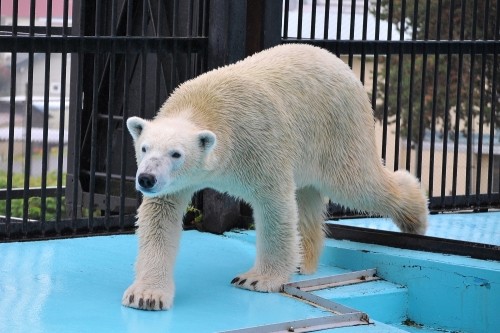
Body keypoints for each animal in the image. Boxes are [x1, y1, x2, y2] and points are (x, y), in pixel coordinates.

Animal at [120, 42, 426, 310]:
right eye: (145, 147)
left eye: (176, 154)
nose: (146, 179)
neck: (207, 106)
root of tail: (344, 66)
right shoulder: (172, 184)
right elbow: (160, 216)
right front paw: (147, 296)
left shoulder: (258, 142)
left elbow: (274, 204)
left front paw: (257, 279)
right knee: (308, 197)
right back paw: (303, 260)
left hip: (338, 128)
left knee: (357, 183)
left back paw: (416, 221)